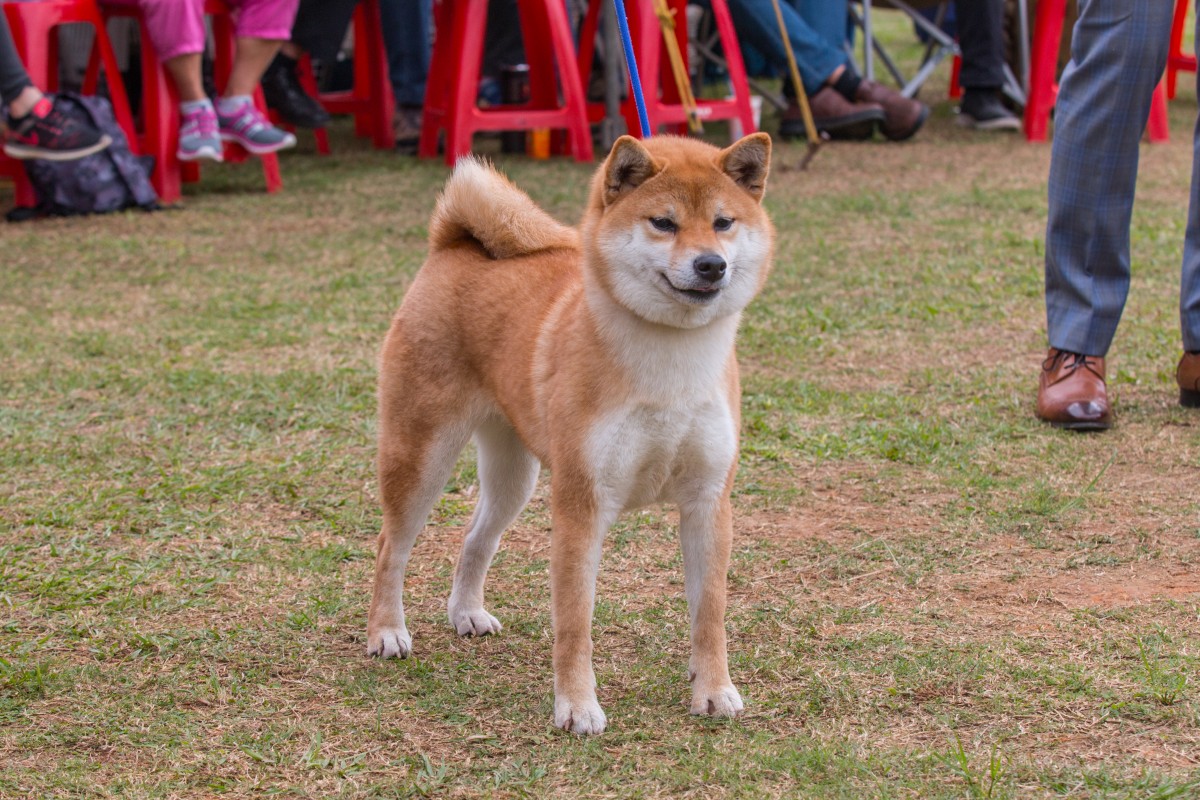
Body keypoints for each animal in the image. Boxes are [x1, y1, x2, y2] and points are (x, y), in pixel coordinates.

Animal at [367, 134, 777, 734]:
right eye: (663, 223)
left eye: (724, 222)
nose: (711, 264)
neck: (670, 364)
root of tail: (454, 244)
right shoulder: (582, 504)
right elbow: (575, 623)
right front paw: (577, 706)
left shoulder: (708, 501)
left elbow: (710, 613)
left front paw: (713, 690)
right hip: (421, 457)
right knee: (390, 547)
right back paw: (386, 631)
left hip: (514, 477)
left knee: (475, 538)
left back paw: (466, 612)